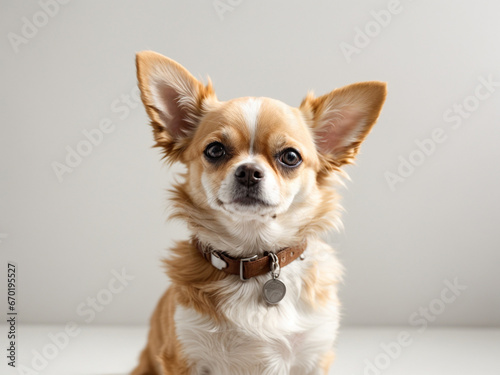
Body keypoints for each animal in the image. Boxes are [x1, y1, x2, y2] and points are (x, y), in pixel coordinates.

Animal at [132, 50, 386, 375]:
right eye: (215, 150)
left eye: (290, 157)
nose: (249, 171)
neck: (254, 260)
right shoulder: (185, 356)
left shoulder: (314, 357)